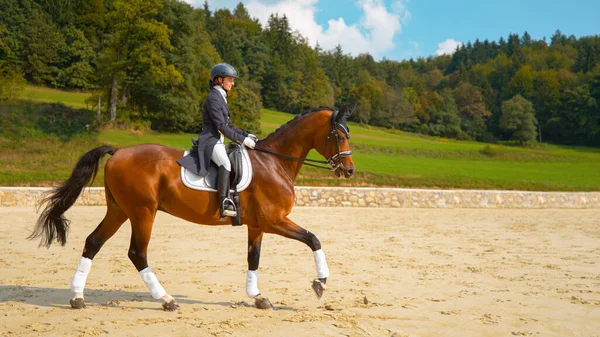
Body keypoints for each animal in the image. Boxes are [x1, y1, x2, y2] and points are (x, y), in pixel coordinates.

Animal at [28, 105, 354, 310]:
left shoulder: (258, 225)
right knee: (137, 253)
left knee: (93, 242)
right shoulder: (275, 220)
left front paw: (258, 297)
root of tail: (118, 150)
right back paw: (166, 300)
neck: (274, 161)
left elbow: (253, 259)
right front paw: (321, 283)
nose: (349, 170)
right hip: (143, 212)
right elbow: (314, 239)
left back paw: (77, 297)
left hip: (119, 210)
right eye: (338, 135)